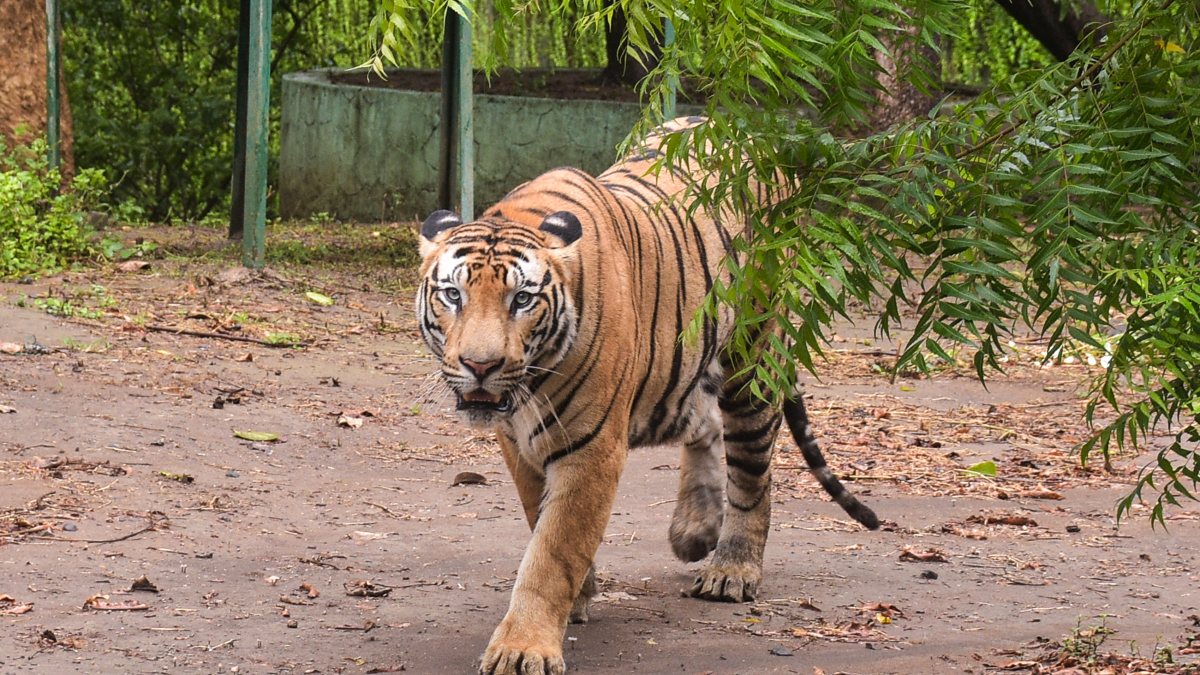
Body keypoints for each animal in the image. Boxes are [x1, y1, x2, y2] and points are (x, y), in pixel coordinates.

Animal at [415, 116, 879, 675]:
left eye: (521, 299)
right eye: (453, 295)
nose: (481, 366)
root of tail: (752, 139)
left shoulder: (591, 449)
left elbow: (553, 550)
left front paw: (523, 647)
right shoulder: (517, 444)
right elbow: (538, 518)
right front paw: (582, 592)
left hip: (754, 361)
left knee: (752, 473)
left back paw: (732, 569)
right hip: (684, 369)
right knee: (703, 424)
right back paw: (695, 529)